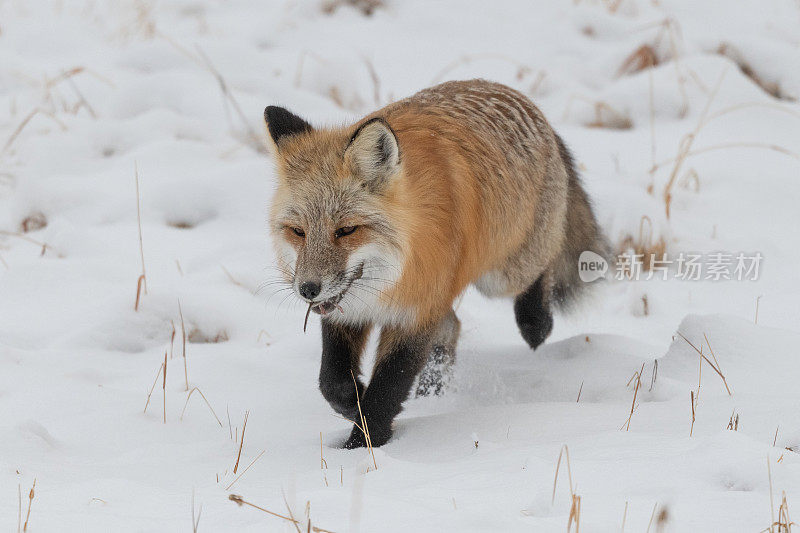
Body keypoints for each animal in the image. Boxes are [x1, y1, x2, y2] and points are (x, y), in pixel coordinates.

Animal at [266, 78, 604, 444]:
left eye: (346, 230)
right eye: (298, 232)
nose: (307, 289)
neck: (395, 272)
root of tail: (516, 95)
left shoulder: (417, 313)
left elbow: (386, 391)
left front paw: (364, 444)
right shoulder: (349, 311)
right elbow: (333, 383)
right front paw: (354, 405)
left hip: (501, 275)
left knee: (544, 264)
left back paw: (535, 322)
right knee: (451, 327)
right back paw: (433, 394)